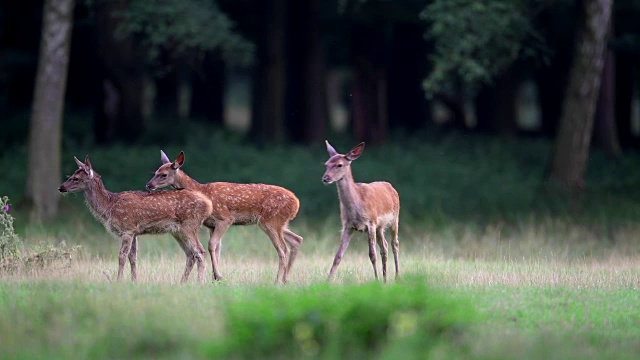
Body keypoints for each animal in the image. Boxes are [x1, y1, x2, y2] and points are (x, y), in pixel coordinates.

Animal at [58, 156, 211, 282]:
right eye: (71, 175)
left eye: (76, 178)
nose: (61, 187)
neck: (109, 206)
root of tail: (208, 204)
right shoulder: (134, 232)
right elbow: (133, 257)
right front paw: (134, 281)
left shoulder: (127, 228)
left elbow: (122, 256)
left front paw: (118, 280)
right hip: (177, 231)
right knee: (190, 254)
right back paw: (182, 282)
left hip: (189, 225)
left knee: (199, 251)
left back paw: (200, 282)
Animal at [146, 150, 304, 284]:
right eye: (155, 172)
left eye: (163, 174)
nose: (149, 185)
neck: (202, 191)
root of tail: (296, 203)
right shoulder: (211, 225)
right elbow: (217, 248)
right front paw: (215, 278)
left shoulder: (225, 218)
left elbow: (211, 245)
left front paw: (218, 276)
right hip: (279, 223)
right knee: (297, 239)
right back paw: (285, 279)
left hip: (270, 221)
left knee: (283, 249)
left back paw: (277, 281)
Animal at [324, 141, 400, 282]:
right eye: (326, 164)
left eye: (339, 164)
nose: (325, 178)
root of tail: (391, 186)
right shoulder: (347, 226)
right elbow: (338, 256)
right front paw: (327, 281)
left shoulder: (371, 222)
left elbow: (372, 254)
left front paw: (376, 279)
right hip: (380, 227)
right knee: (384, 247)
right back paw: (385, 278)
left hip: (395, 218)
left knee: (394, 244)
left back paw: (397, 276)